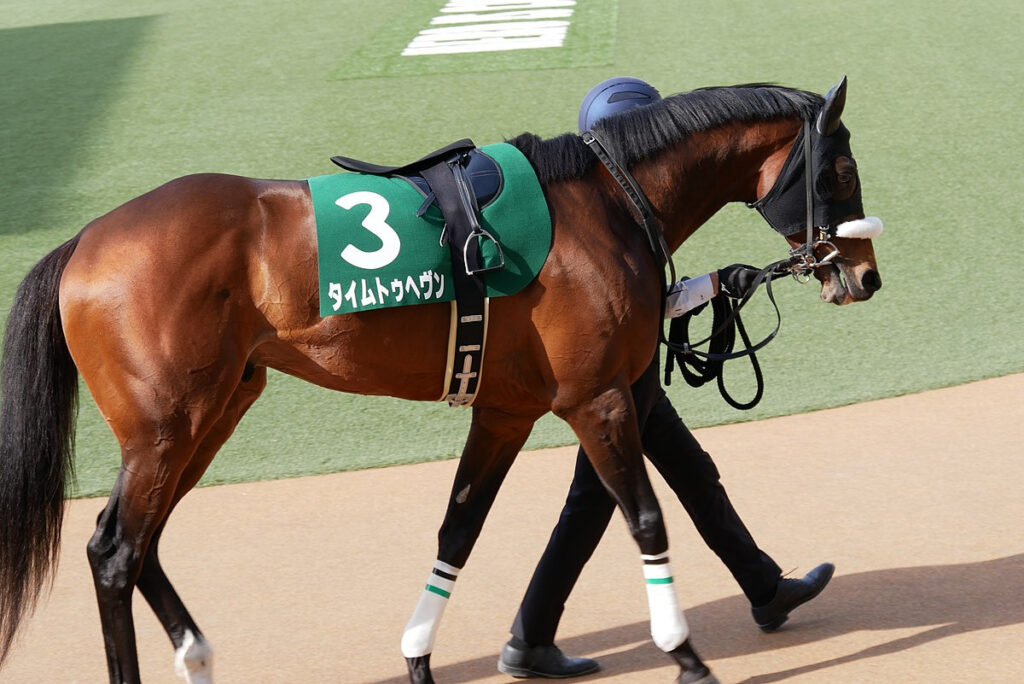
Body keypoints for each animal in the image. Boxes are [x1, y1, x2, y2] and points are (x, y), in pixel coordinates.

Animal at [0, 77, 880, 679]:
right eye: (839, 171)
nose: (865, 275)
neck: (602, 202)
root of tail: (84, 240)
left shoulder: (505, 411)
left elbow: (459, 528)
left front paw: (421, 655)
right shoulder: (598, 400)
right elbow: (646, 518)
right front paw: (687, 655)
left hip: (210, 415)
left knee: (138, 542)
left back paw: (199, 655)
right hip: (167, 427)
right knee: (116, 551)